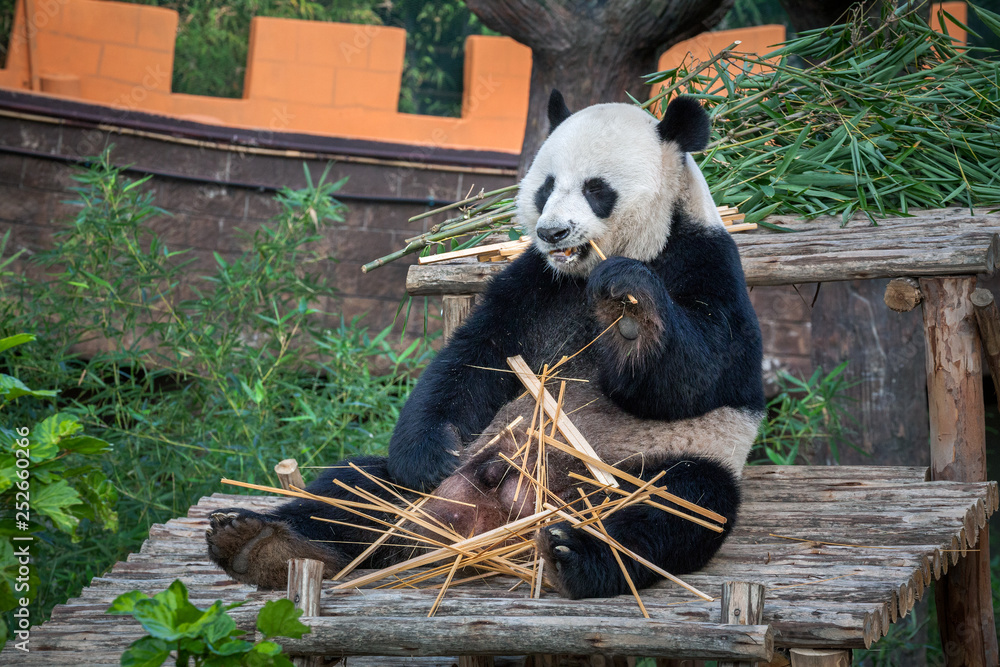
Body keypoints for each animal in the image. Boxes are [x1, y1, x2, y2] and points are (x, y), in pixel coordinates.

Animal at [206, 91, 765, 598]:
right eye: (545, 187)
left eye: (596, 189)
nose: (552, 231)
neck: (587, 271)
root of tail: (501, 514)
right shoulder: (536, 284)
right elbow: (474, 359)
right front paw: (430, 454)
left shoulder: (706, 261)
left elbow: (701, 375)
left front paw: (630, 309)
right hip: (438, 474)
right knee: (352, 488)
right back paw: (261, 543)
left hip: (645, 466)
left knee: (671, 509)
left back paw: (572, 555)